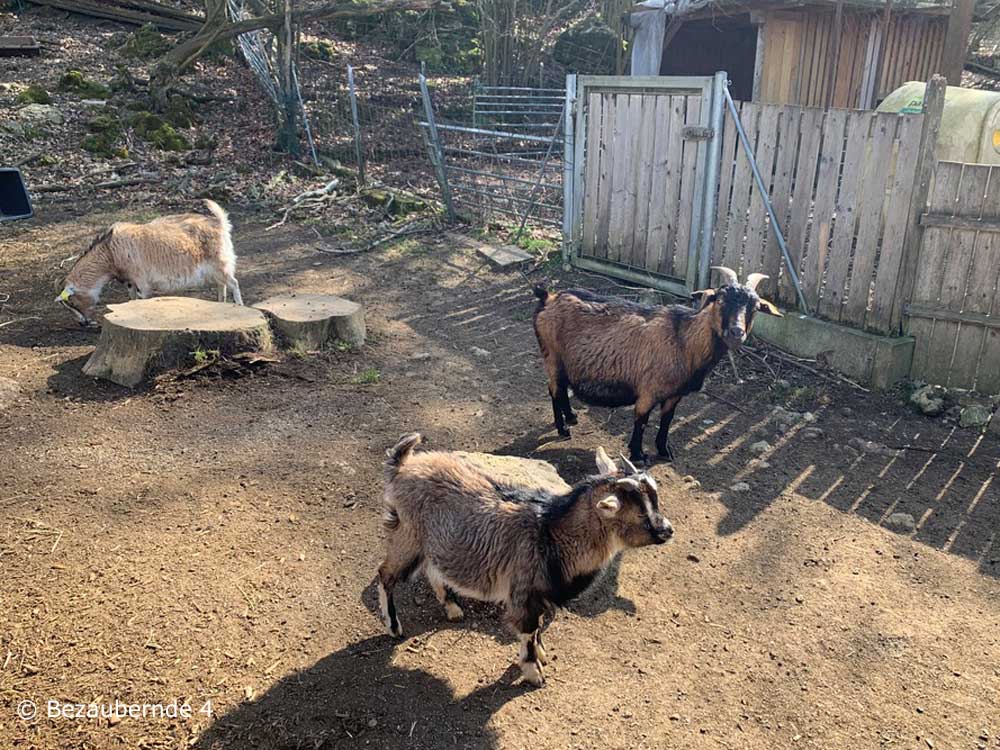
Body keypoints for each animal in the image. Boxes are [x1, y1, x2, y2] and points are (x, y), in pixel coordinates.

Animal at [57, 200, 241, 326]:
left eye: (72, 302)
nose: (82, 323)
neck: (110, 252)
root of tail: (220, 223)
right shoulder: (130, 281)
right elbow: (131, 299)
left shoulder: (142, 281)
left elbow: (143, 299)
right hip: (214, 270)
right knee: (222, 285)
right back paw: (222, 306)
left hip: (219, 263)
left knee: (233, 283)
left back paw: (239, 306)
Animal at [376, 434, 672, 688]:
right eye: (639, 514)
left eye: (655, 501)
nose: (667, 530)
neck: (550, 533)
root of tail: (402, 466)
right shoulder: (524, 592)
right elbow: (529, 631)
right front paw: (534, 672)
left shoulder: (539, 595)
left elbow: (538, 629)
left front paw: (541, 654)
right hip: (408, 536)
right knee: (385, 574)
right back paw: (394, 627)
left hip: (432, 543)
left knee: (434, 569)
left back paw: (452, 608)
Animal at [532, 264, 780, 464]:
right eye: (719, 300)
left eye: (755, 307)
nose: (737, 332)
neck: (684, 340)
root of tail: (547, 298)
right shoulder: (648, 391)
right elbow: (641, 420)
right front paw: (638, 455)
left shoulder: (674, 394)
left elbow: (667, 420)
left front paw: (664, 450)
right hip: (552, 356)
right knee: (555, 389)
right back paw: (563, 428)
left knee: (559, 388)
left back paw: (571, 417)